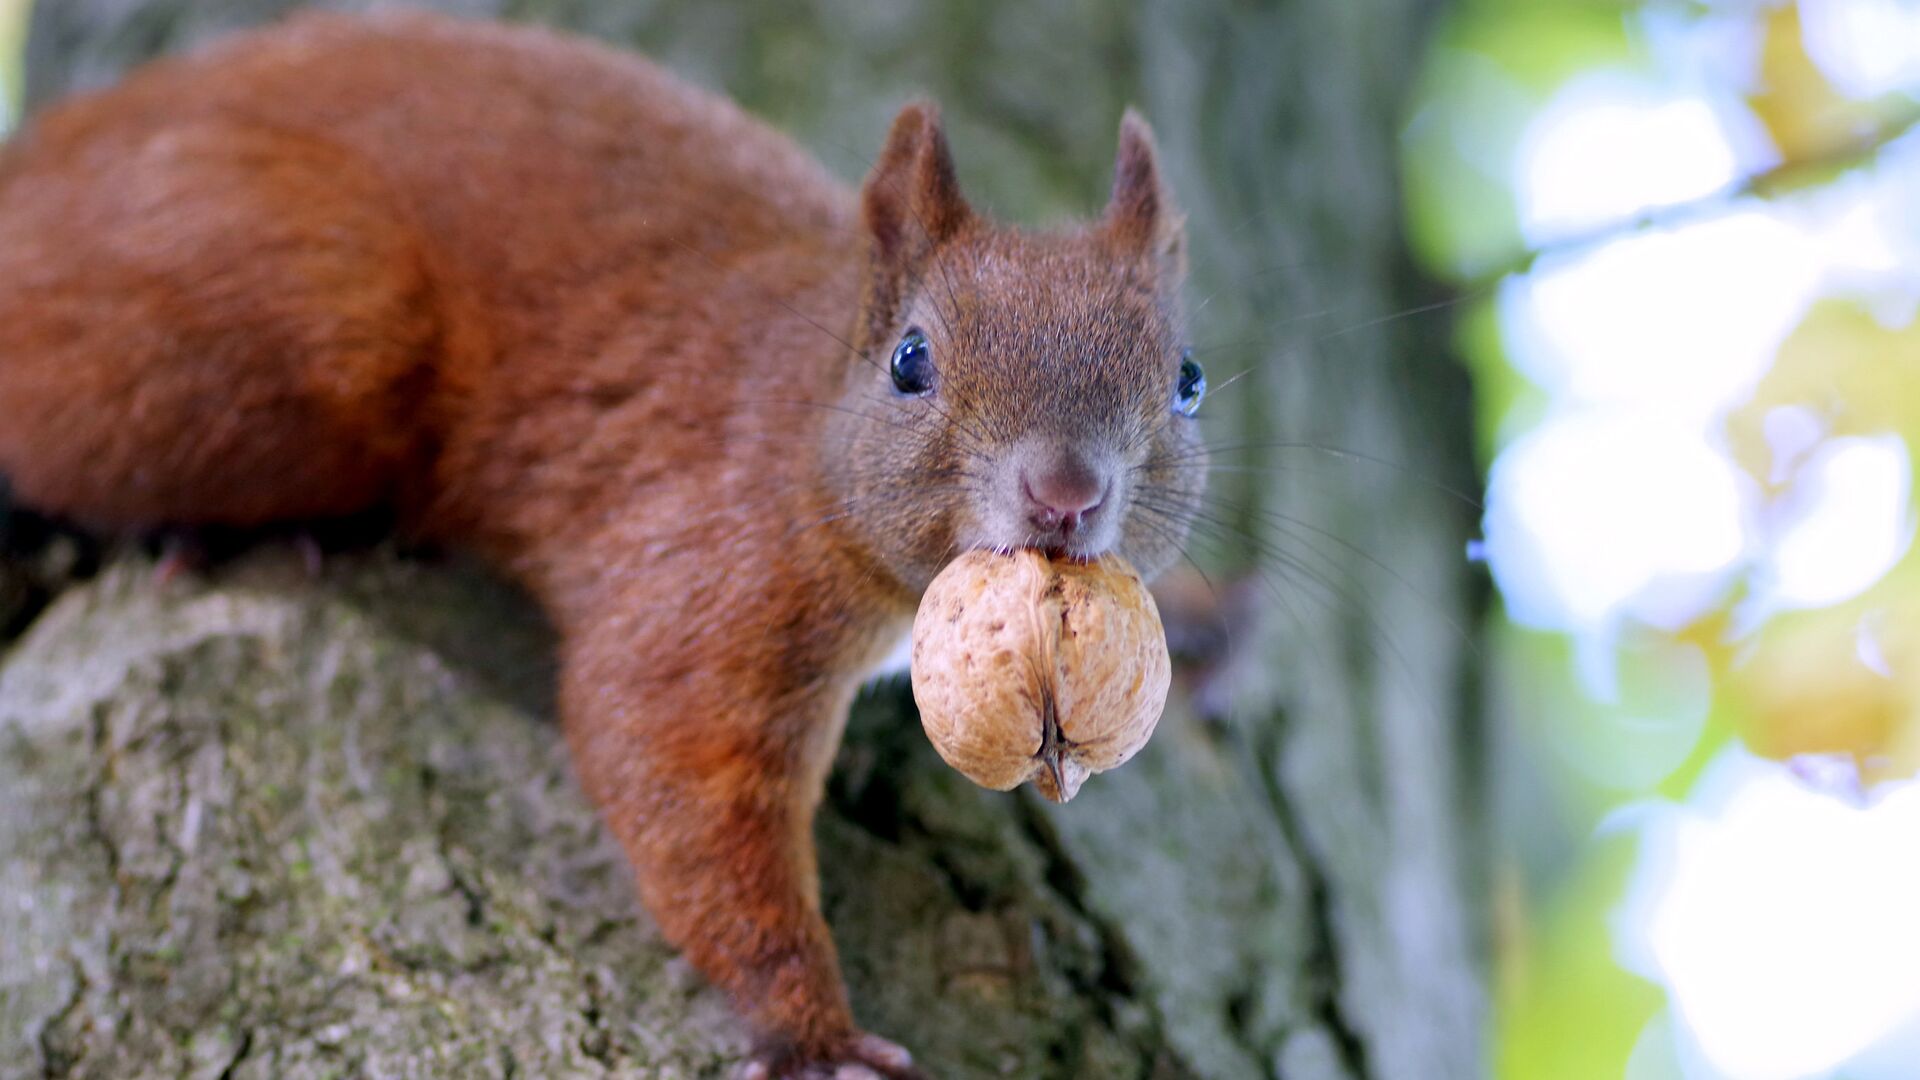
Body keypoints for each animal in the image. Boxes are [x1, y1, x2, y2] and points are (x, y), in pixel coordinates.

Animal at [0, 10, 1205, 1076]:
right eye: (913, 362)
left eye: (1189, 377)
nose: (1065, 494)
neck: (806, 411)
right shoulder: (711, 564)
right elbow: (672, 761)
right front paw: (814, 1035)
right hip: (285, 316)